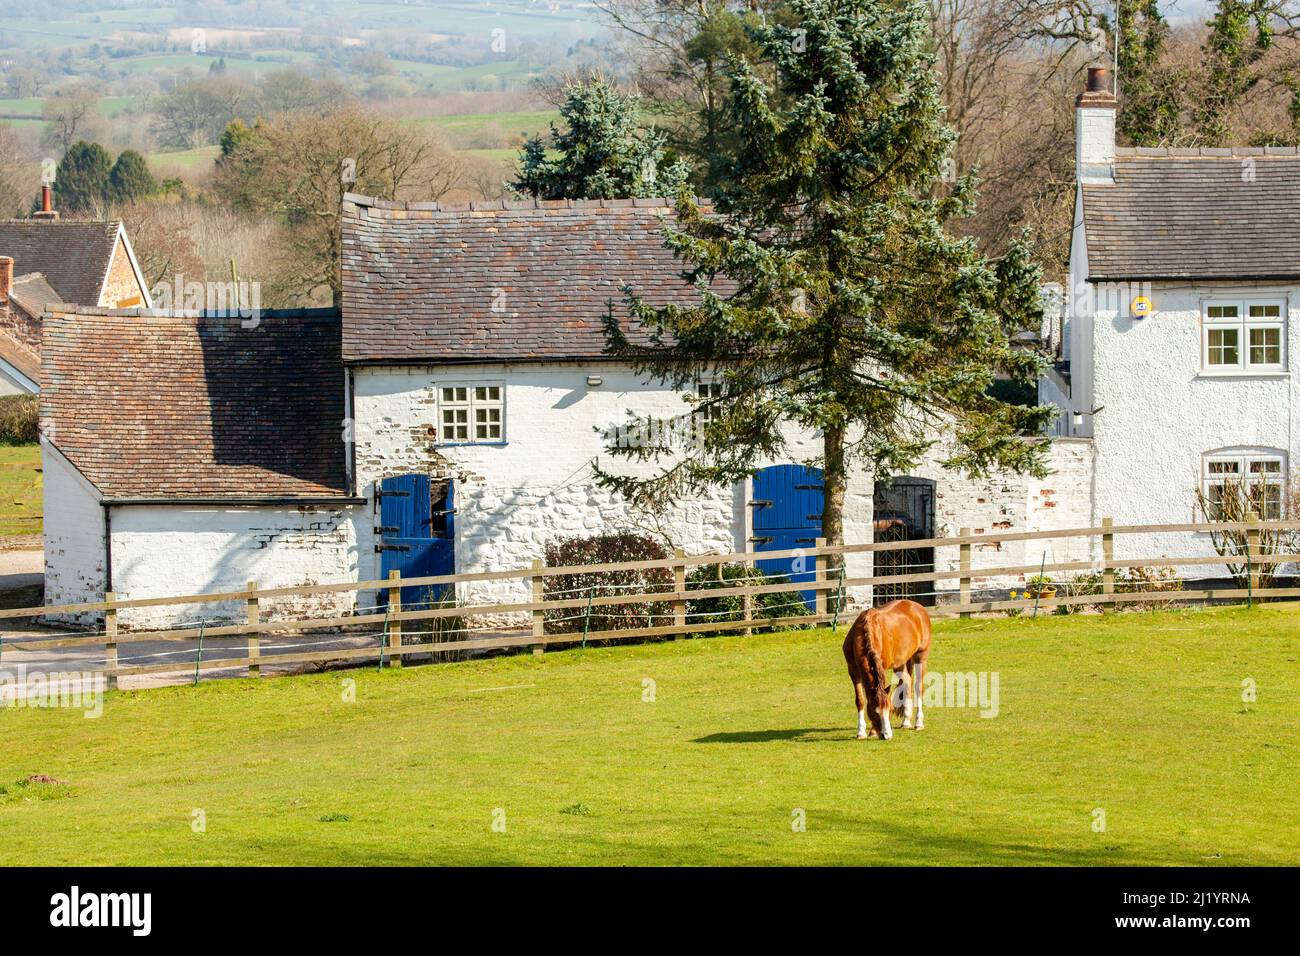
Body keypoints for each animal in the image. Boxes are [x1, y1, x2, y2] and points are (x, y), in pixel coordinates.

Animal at [847, 600, 930, 743]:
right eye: (875, 713)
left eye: (890, 710)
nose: (887, 735)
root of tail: (918, 607)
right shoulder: (853, 671)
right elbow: (860, 700)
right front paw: (861, 732)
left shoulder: (882, 667)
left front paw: (872, 731)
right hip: (901, 662)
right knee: (907, 682)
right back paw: (906, 721)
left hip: (921, 657)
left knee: (919, 687)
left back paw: (919, 723)